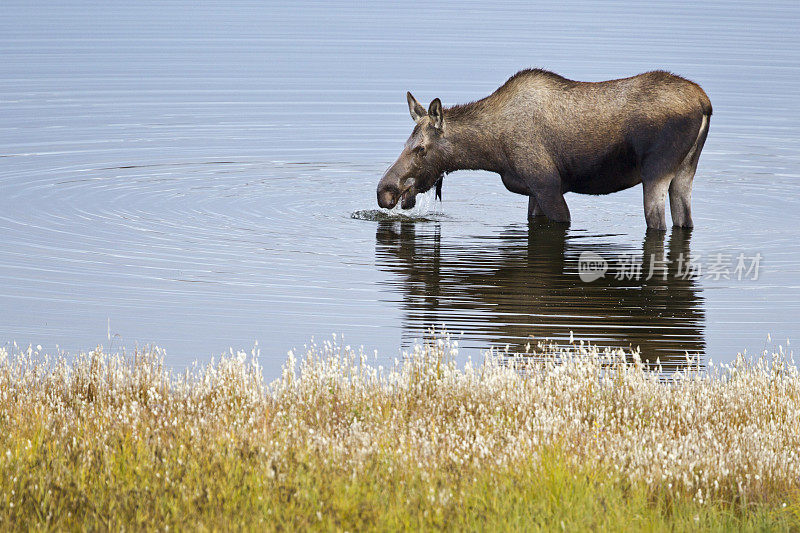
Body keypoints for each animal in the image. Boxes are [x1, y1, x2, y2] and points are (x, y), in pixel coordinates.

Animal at [376, 68, 712, 229]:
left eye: (421, 149)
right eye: (405, 143)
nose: (385, 191)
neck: (491, 152)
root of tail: (705, 103)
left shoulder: (548, 185)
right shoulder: (533, 191)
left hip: (656, 172)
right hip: (685, 172)